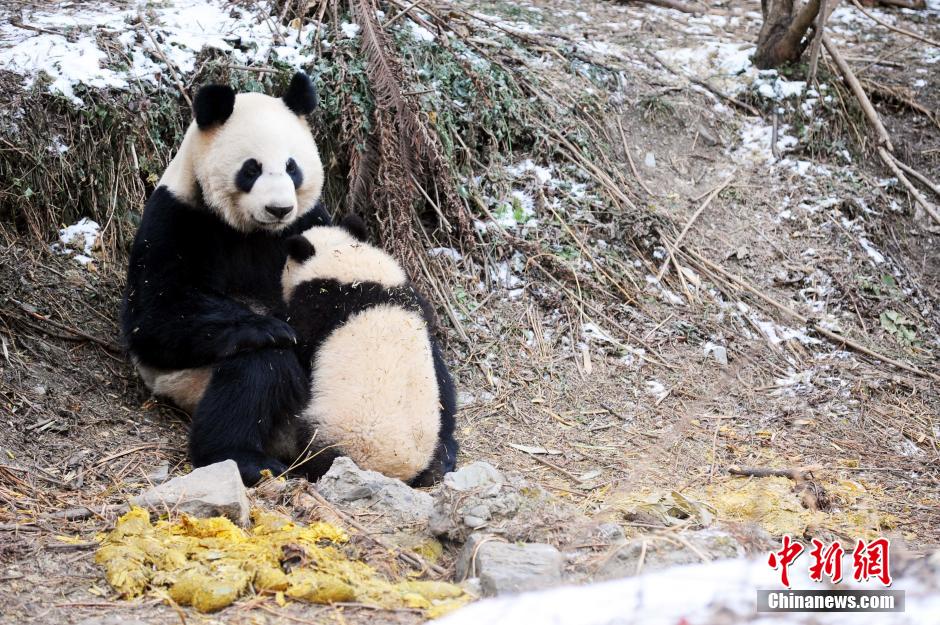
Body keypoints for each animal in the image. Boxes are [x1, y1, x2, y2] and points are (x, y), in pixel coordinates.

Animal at [122, 72, 330, 485]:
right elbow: (156, 314)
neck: (253, 230)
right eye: (251, 168)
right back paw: (242, 458)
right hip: (189, 380)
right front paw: (270, 327)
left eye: (292, 167)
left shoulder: (307, 220)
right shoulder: (177, 216)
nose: (279, 208)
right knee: (254, 373)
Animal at [275, 216, 458, 486]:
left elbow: (302, 342)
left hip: (335, 429)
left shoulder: (319, 306)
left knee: (313, 448)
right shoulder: (412, 298)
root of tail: (397, 468)